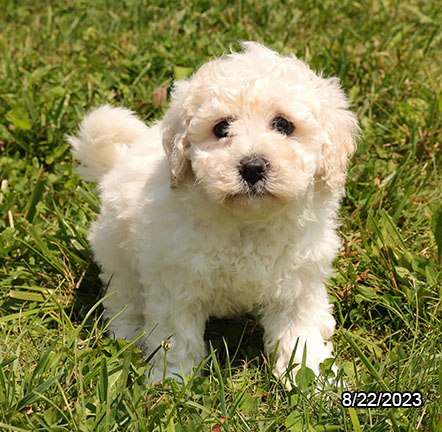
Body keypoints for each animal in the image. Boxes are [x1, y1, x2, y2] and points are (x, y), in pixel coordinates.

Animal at [69, 42, 360, 384]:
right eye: (221, 128)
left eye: (283, 125)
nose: (253, 167)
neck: (248, 222)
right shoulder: (175, 281)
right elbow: (174, 336)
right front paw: (171, 382)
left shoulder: (298, 282)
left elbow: (300, 331)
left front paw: (313, 379)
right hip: (117, 252)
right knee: (122, 298)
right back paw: (127, 334)